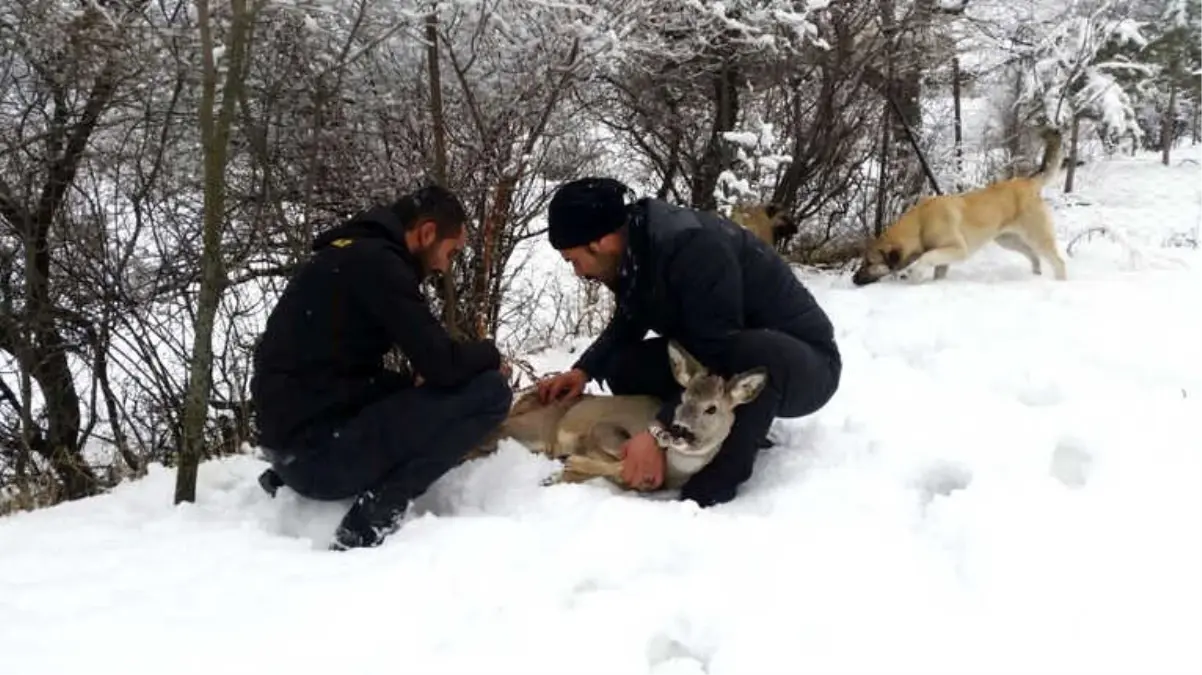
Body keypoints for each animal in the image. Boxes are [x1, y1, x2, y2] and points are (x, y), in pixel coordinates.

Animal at [851, 128, 1067, 283]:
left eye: (869, 263)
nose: (853, 279)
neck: (921, 224)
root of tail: (1029, 182)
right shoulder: (944, 259)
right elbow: (937, 269)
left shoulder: (957, 249)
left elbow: (926, 257)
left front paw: (916, 275)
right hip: (1008, 240)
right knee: (1034, 255)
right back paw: (1036, 275)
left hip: (1037, 236)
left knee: (1058, 261)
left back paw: (1060, 281)